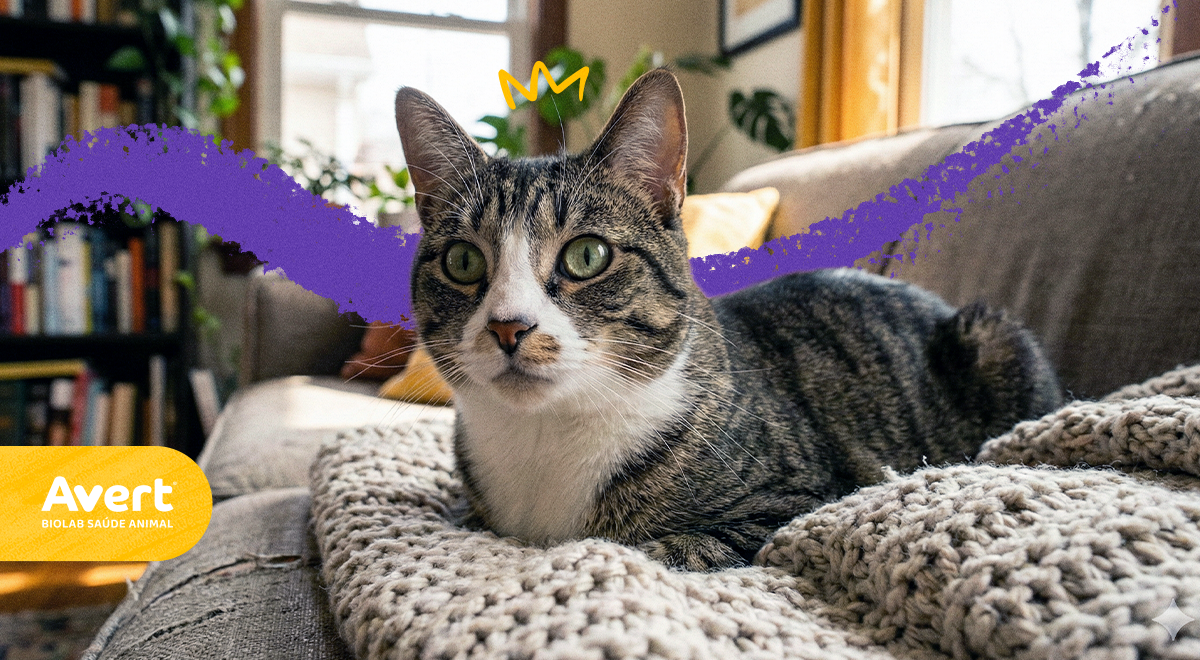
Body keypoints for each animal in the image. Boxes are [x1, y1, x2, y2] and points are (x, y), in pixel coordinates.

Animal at [393, 69, 1063, 571]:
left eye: (587, 256)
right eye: (462, 261)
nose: (508, 327)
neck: (543, 441)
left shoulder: (801, 497)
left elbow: (671, 546)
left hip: (993, 335)